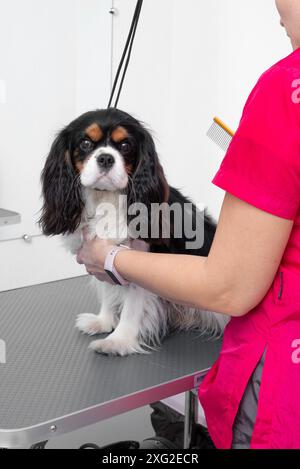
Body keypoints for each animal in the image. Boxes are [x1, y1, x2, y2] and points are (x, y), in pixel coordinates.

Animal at [39, 107, 227, 354]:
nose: (106, 158)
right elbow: (108, 293)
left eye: (125, 145)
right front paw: (103, 321)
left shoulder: (140, 262)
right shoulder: (101, 257)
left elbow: (131, 307)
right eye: (86, 143)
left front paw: (118, 340)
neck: (105, 199)